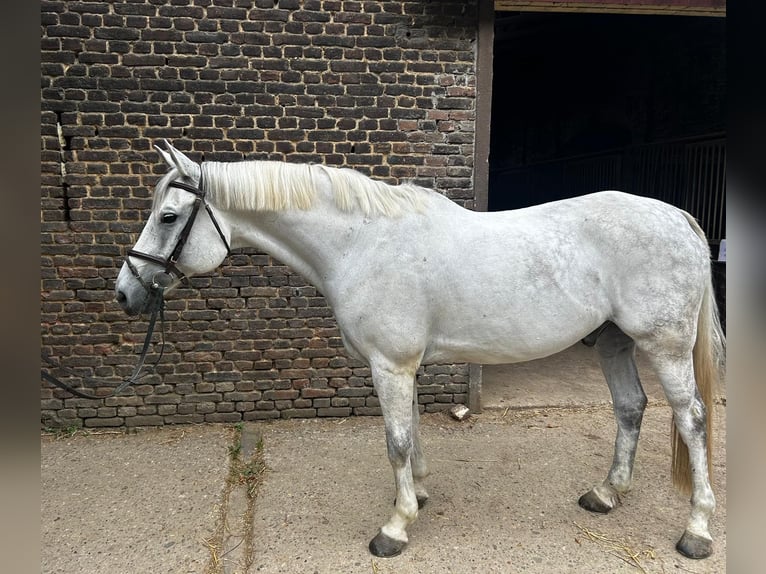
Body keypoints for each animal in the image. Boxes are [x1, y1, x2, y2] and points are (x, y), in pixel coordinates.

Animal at [115, 142, 728, 560]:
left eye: (168, 216)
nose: (125, 291)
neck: (361, 243)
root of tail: (677, 216)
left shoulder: (389, 364)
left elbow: (396, 441)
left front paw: (395, 527)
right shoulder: (400, 366)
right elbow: (410, 432)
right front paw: (421, 494)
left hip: (664, 345)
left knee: (692, 418)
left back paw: (697, 530)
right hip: (614, 343)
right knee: (630, 407)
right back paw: (606, 494)